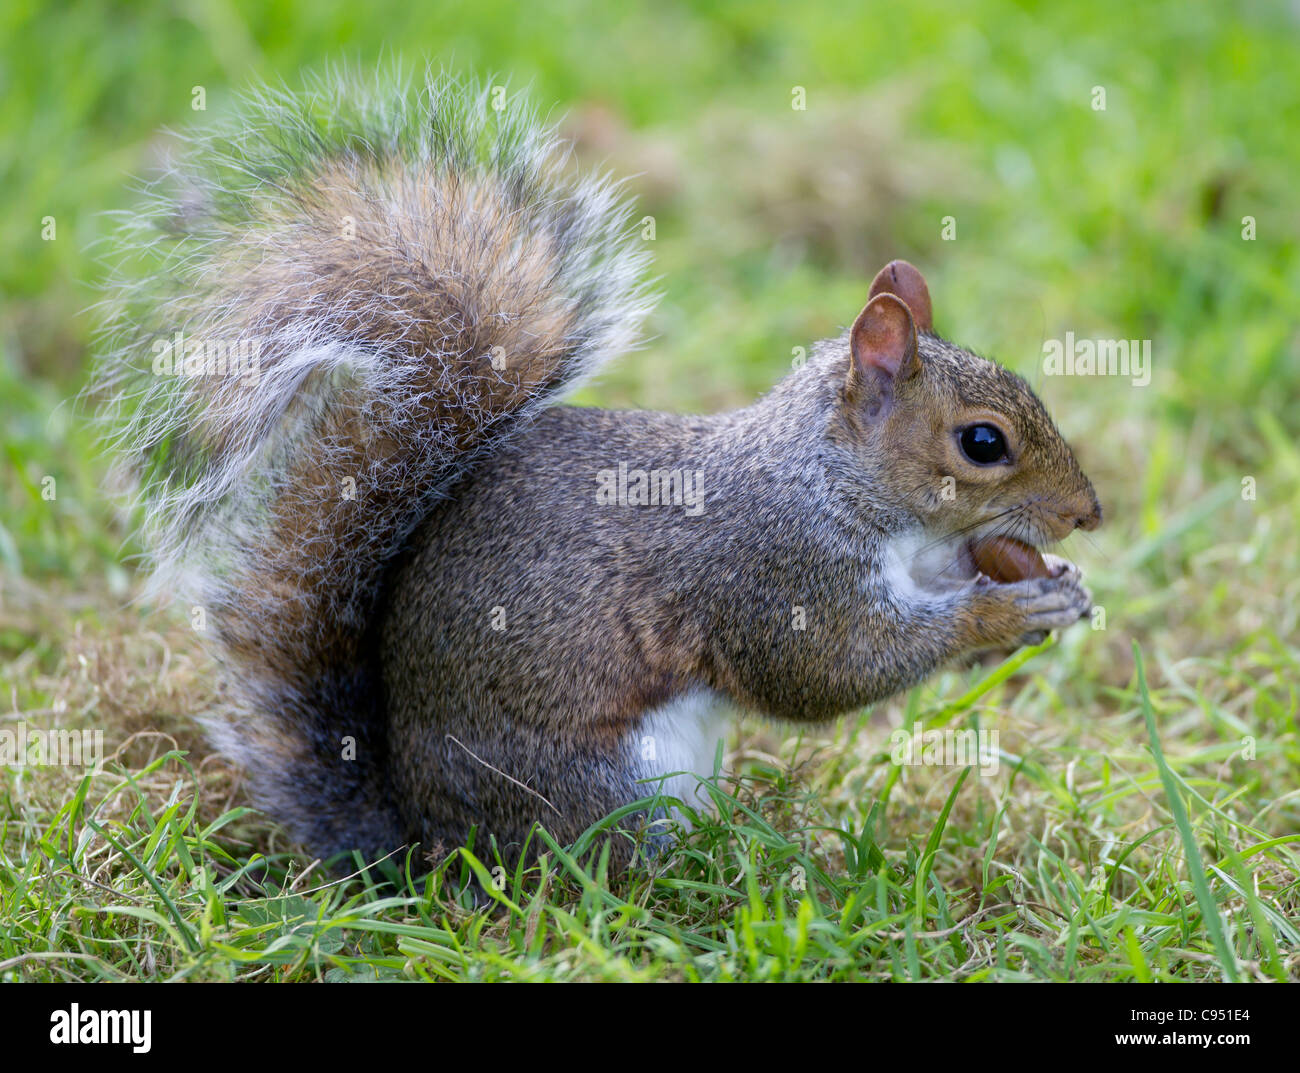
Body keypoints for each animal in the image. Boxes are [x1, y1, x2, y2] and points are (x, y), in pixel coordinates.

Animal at [98, 72, 1101, 870]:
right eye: (983, 443)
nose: (1088, 513)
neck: (833, 479)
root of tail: (425, 850)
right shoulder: (776, 571)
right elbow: (830, 670)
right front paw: (1005, 611)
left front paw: (1054, 583)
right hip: (601, 785)